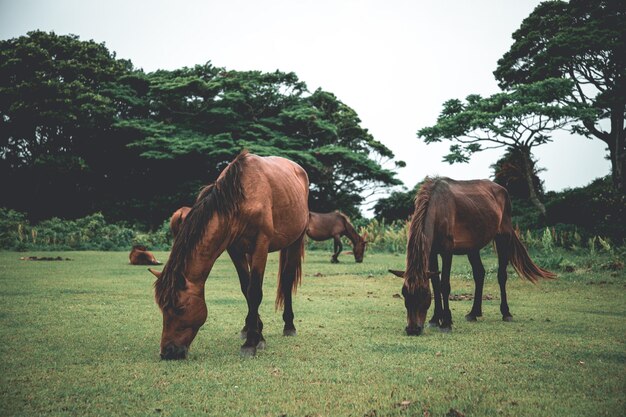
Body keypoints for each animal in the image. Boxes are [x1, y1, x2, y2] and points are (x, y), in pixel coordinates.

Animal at [149, 151, 310, 360]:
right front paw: (257, 333)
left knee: (287, 280)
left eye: (180, 308)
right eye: (162, 307)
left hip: (295, 241)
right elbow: (246, 289)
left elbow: (254, 291)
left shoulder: (261, 245)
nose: (168, 351)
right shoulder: (234, 249)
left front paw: (251, 343)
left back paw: (289, 325)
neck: (241, 198)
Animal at [388, 176, 552, 334]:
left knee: (501, 275)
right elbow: (435, 283)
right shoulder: (432, 252)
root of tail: (502, 189)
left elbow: (444, 285)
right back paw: (474, 313)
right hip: (473, 246)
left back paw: (506, 313)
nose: (412, 329)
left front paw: (446, 323)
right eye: (404, 294)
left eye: (423, 294)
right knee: (479, 274)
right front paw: (435, 319)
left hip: (503, 237)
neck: (437, 207)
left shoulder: (447, 251)